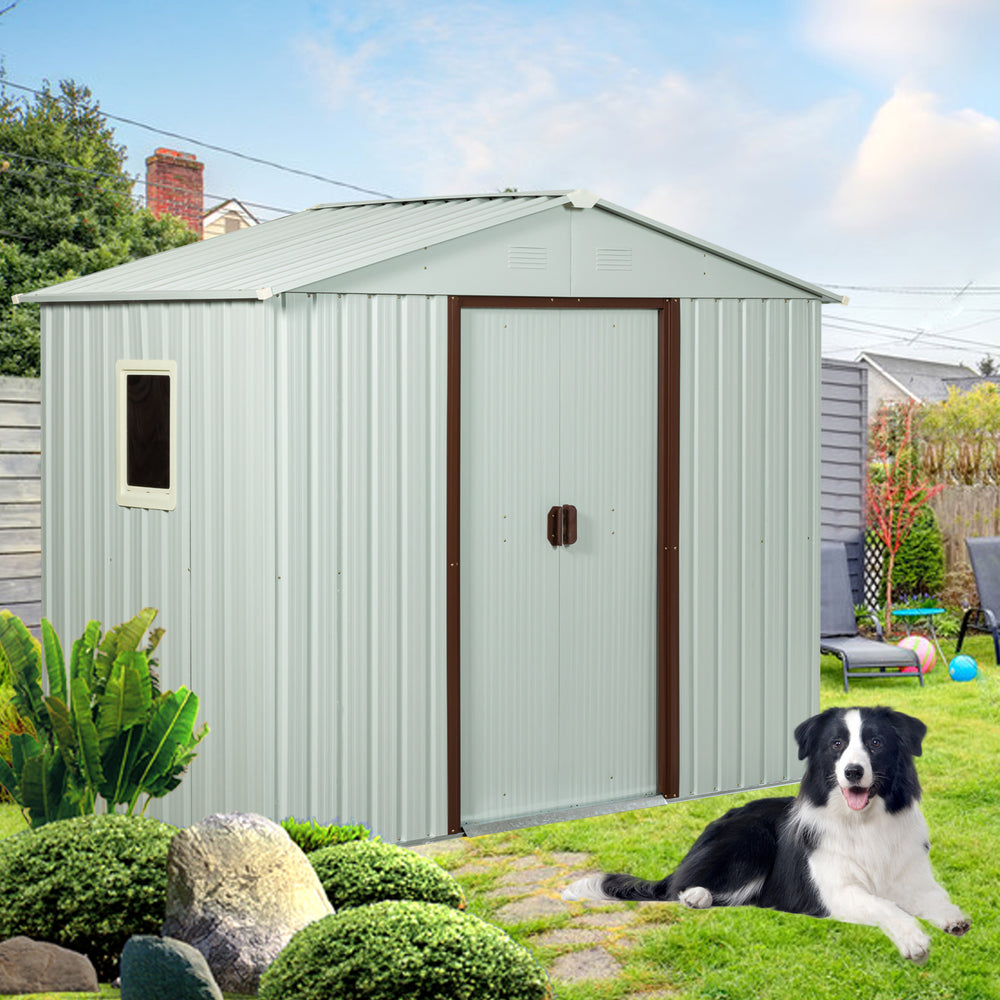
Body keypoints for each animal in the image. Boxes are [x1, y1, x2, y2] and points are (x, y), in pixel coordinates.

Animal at [568, 704, 972, 960]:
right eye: (837, 744)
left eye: (876, 742)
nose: (853, 772)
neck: (865, 822)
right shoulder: (838, 892)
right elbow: (886, 906)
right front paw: (914, 940)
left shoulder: (912, 876)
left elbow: (934, 896)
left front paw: (953, 918)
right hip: (751, 838)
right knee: (674, 890)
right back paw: (695, 895)